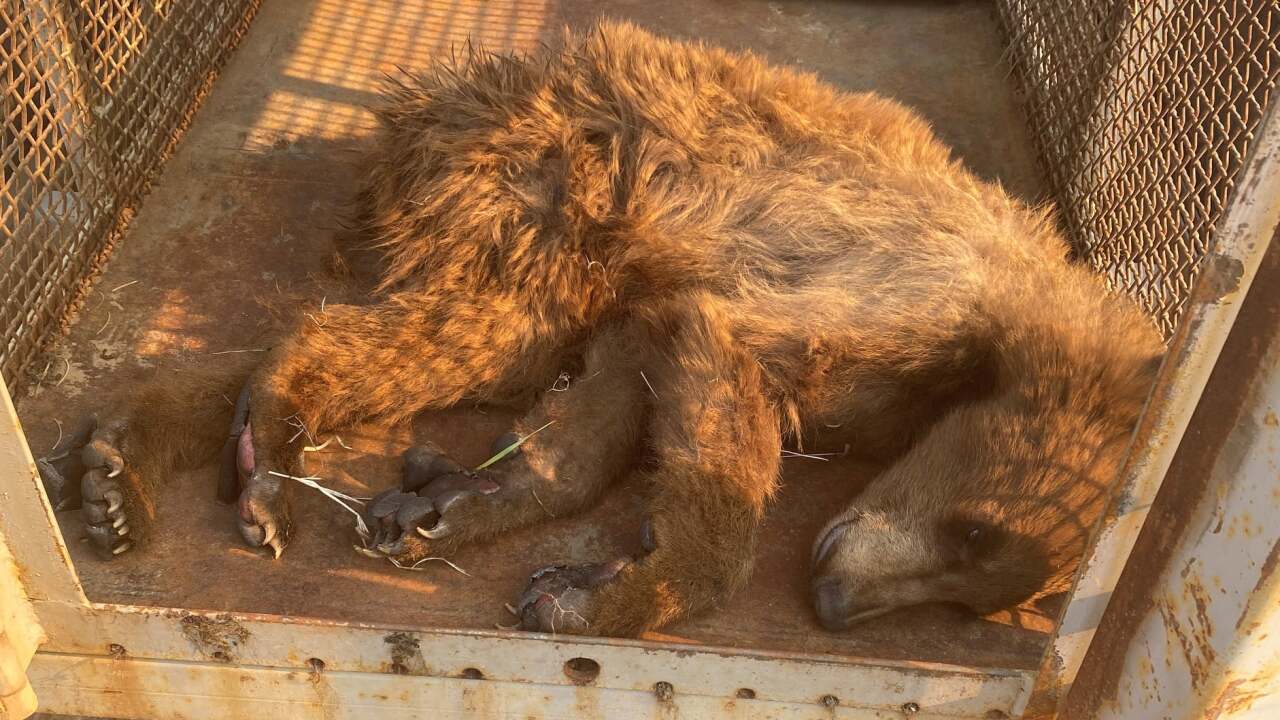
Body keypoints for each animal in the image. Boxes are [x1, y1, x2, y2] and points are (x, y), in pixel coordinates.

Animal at [60, 20, 1163, 637]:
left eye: (967, 596)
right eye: (973, 530)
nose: (835, 606)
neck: (993, 352)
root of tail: (434, 100)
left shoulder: (687, 309)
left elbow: (620, 386)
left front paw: (473, 505)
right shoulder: (896, 291)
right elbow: (728, 364)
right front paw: (644, 590)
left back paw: (127, 463)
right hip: (538, 185)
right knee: (453, 333)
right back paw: (268, 433)